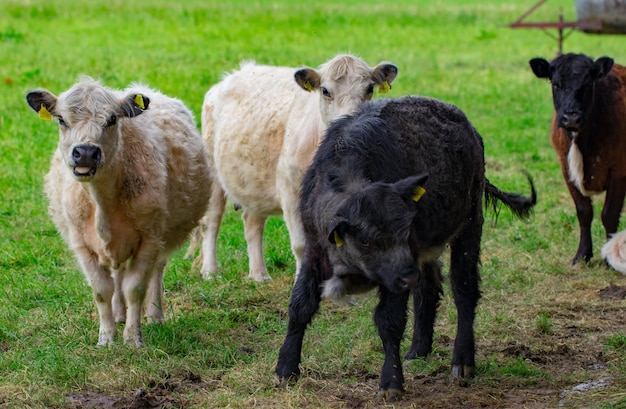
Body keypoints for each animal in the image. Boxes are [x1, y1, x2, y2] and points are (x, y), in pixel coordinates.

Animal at [26, 76, 211, 344]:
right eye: (61, 119)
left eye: (112, 119)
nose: (86, 152)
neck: (102, 202)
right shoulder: (81, 244)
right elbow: (102, 290)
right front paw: (106, 337)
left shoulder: (149, 239)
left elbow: (134, 288)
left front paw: (133, 337)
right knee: (118, 274)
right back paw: (118, 313)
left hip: (162, 237)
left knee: (155, 271)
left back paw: (154, 314)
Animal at [185, 54, 398, 282]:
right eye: (325, 91)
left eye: (369, 89)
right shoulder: (290, 191)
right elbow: (300, 246)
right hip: (213, 175)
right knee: (212, 220)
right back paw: (210, 271)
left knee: (252, 222)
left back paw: (259, 274)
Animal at [274, 95, 536, 398]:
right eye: (366, 239)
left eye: (404, 231)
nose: (407, 275)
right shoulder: (314, 250)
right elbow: (300, 305)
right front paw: (285, 369)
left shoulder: (398, 272)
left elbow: (389, 321)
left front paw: (391, 382)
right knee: (429, 287)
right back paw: (418, 350)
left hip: (470, 222)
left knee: (464, 288)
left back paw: (462, 361)